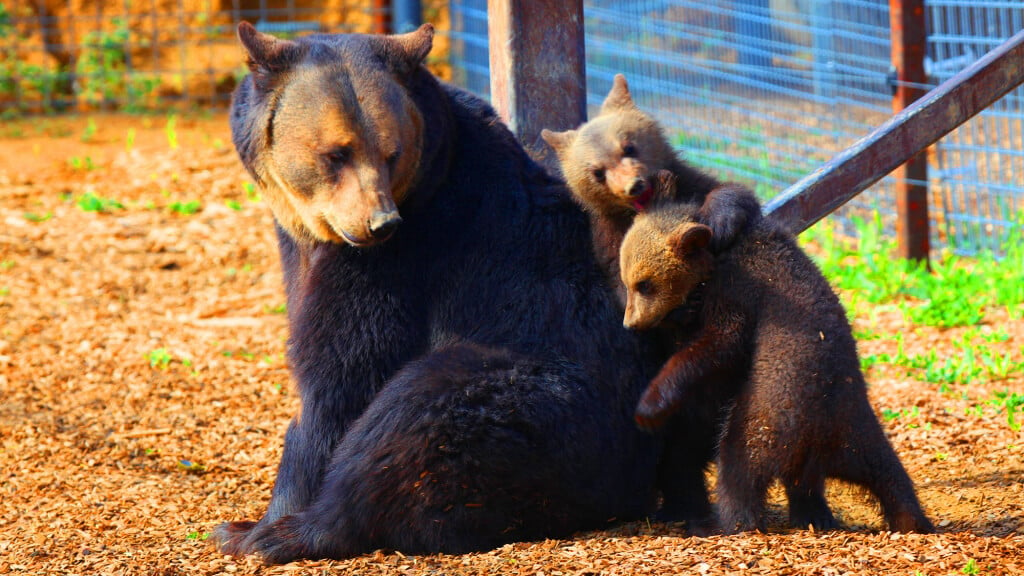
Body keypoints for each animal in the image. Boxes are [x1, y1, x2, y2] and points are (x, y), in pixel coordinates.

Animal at [216, 23, 663, 561]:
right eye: (336, 153)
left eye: (390, 152)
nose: (379, 222)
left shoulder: (405, 259)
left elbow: (343, 375)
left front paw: (265, 521)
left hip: (566, 406)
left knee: (419, 409)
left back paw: (295, 532)